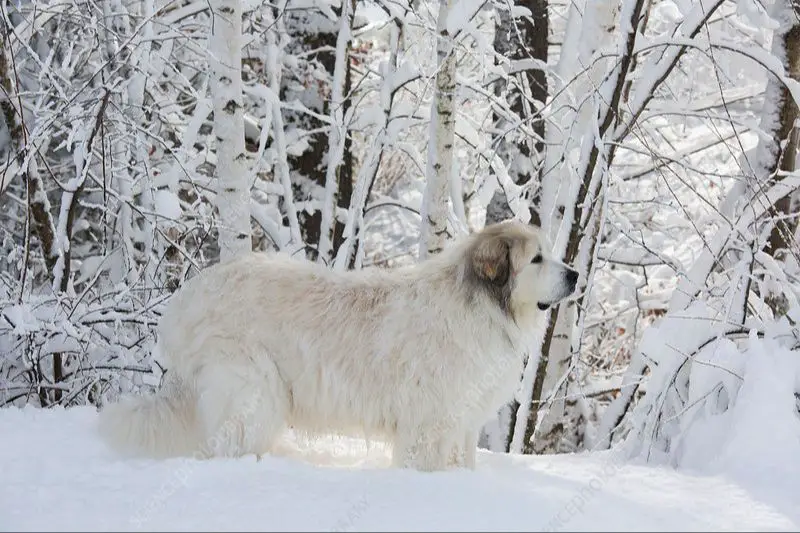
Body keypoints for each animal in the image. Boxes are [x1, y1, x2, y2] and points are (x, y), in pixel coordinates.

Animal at [98, 219, 576, 470]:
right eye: (536, 258)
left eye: (550, 253)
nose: (573, 274)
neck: (483, 306)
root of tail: (190, 297)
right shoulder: (430, 422)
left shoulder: (462, 422)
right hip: (254, 391)